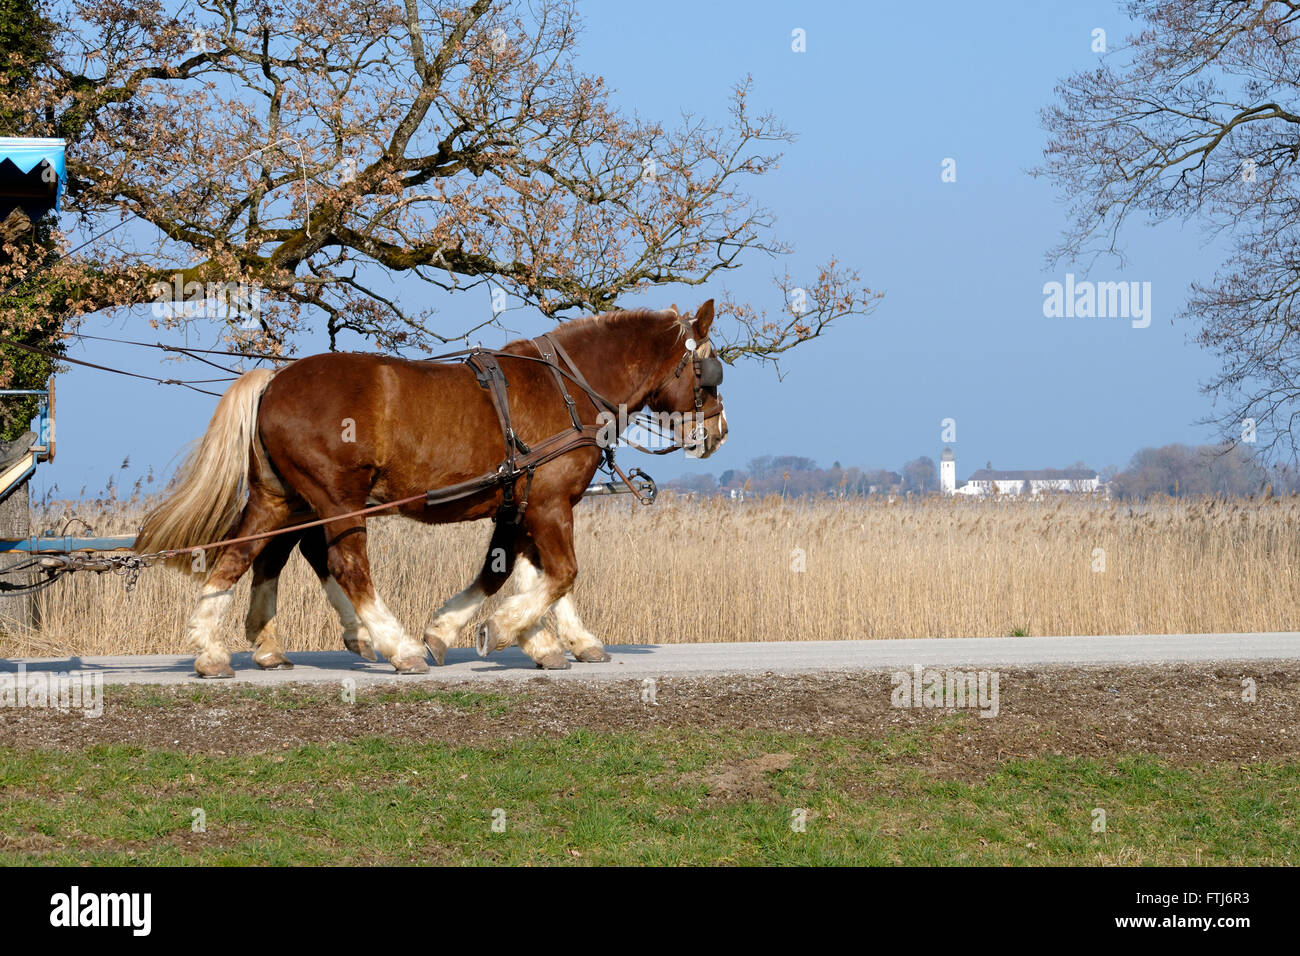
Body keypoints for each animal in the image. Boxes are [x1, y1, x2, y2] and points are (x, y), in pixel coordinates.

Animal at [141, 303, 733, 676]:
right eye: (708, 371)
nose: (719, 432)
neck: (567, 388)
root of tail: (274, 380)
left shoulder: (519, 503)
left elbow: (515, 573)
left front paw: (540, 639)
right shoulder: (548, 502)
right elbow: (559, 573)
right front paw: (500, 630)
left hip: (280, 497)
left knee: (241, 555)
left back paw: (215, 650)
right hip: (335, 500)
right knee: (345, 564)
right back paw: (394, 645)